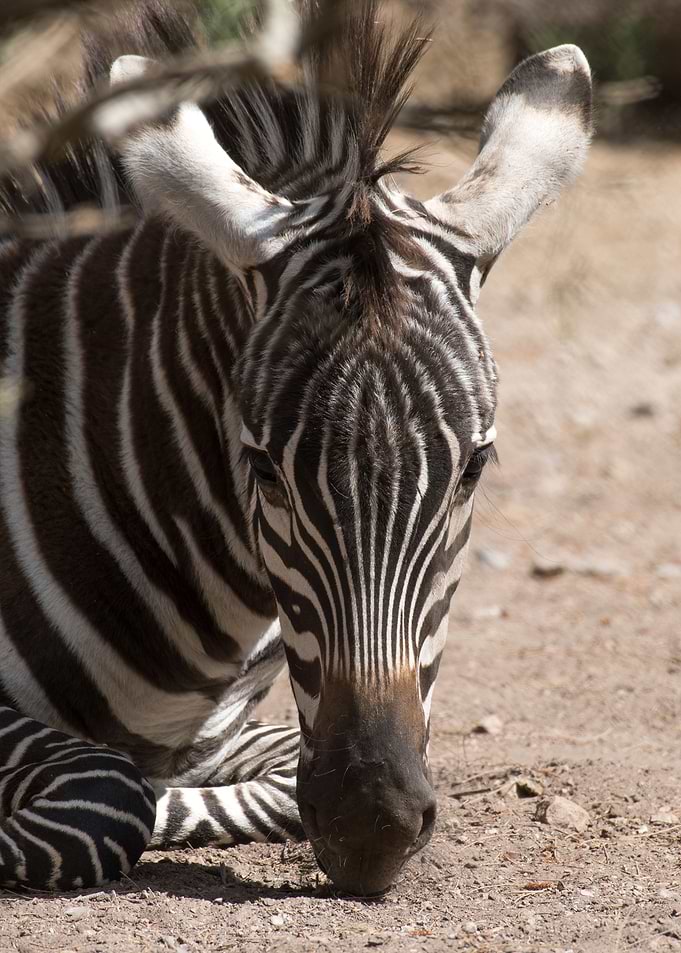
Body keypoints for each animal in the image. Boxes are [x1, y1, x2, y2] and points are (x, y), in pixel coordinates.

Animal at [0, 0, 592, 896]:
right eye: (262, 467)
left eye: (472, 468)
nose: (371, 822)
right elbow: (112, 792)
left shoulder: (237, 736)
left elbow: (242, 786)